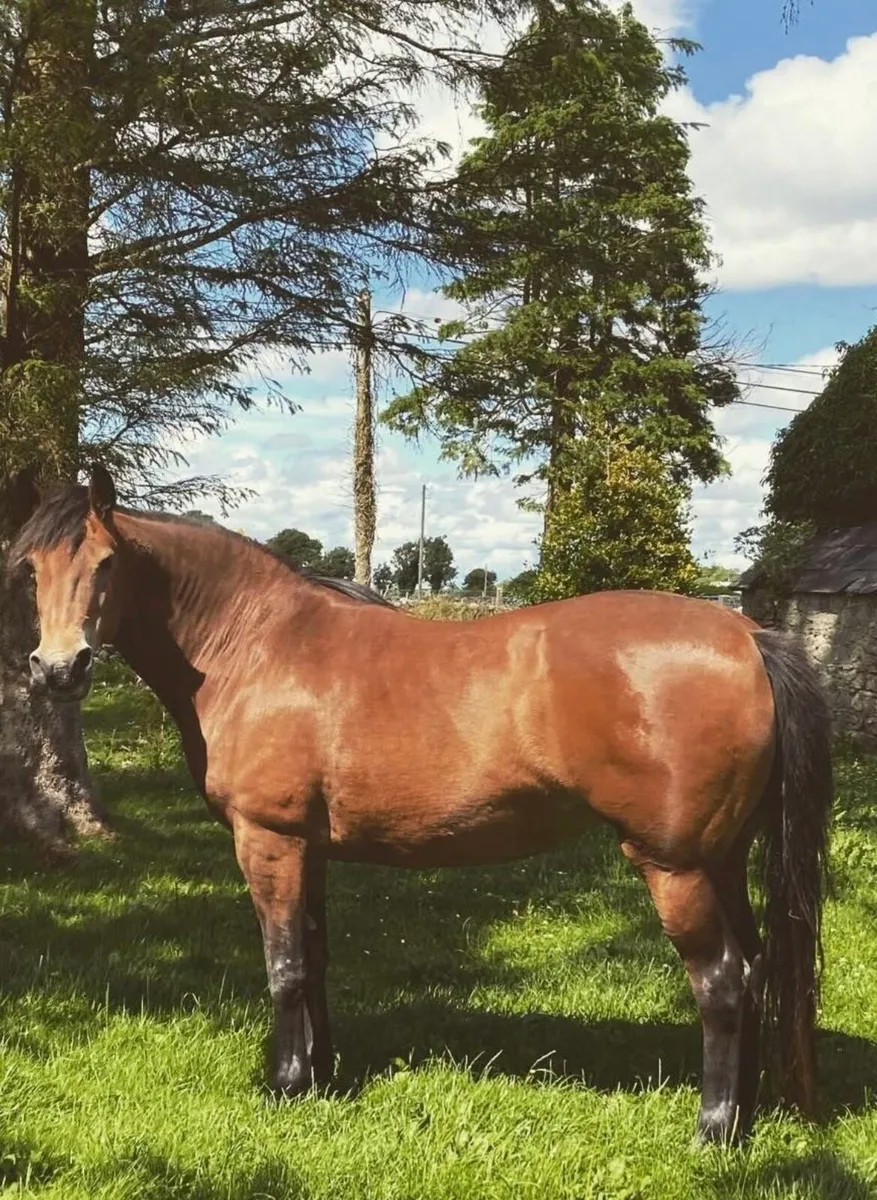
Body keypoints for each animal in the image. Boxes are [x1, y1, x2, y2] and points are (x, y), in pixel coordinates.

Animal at [8, 466, 833, 1146]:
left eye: (106, 563)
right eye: (32, 570)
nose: (57, 669)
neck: (252, 646)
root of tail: (747, 635)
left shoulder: (268, 840)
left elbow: (283, 966)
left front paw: (284, 1086)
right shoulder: (308, 847)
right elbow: (314, 957)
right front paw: (319, 1075)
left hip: (674, 866)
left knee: (721, 982)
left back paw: (711, 1131)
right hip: (722, 860)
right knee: (755, 970)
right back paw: (745, 1115)